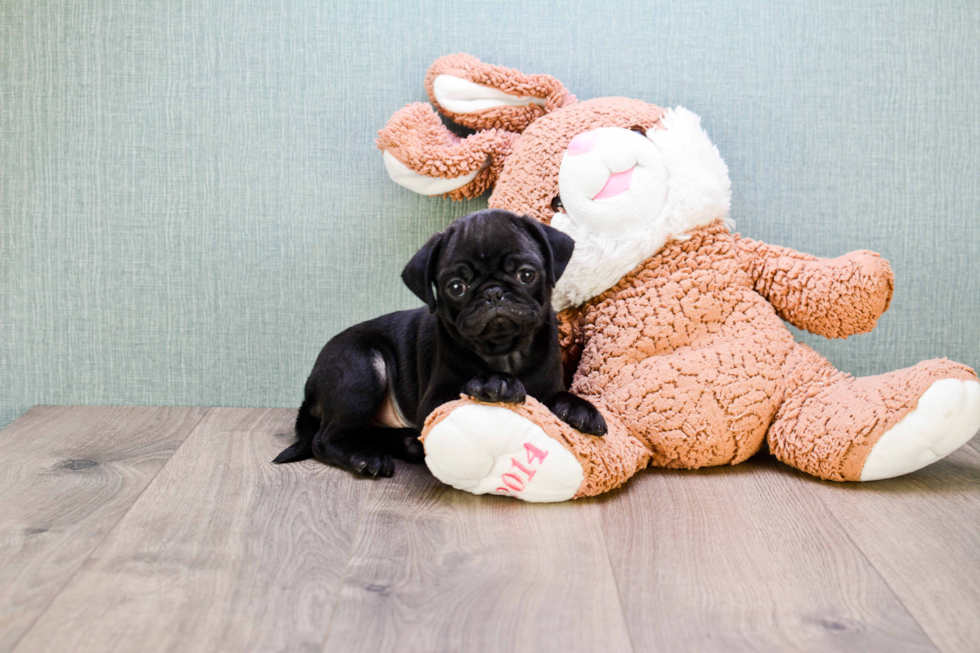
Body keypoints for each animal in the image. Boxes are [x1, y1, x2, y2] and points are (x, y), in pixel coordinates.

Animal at [270, 208, 604, 474]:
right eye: (456, 287)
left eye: (526, 274)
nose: (493, 292)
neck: (505, 353)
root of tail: (311, 387)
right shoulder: (434, 401)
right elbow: (468, 384)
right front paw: (494, 383)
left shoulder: (548, 386)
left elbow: (561, 396)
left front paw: (580, 409)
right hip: (362, 369)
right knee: (325, 439)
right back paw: (366, 458)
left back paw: (406, 444)